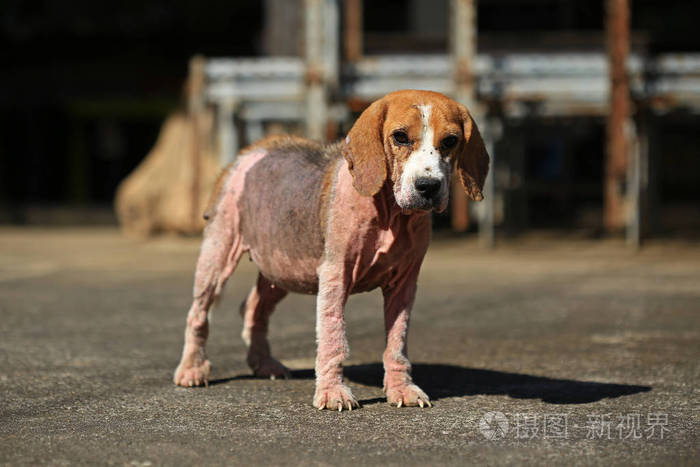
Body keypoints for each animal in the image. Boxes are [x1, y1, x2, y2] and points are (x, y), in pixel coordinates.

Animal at [173, 89, 490, 412]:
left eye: (450, 141)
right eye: (400, 137)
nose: (428, 186)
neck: (390, 214)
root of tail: (253, 148)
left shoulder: (405, 285)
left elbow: (397, 342)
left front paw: (401, 388)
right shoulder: (335, 275)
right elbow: (333, 336)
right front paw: (332, 392)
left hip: (282, 268)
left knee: (253, 307)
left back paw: (264, 364)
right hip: (219, 252)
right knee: (198, 314)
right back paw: (192, 369)